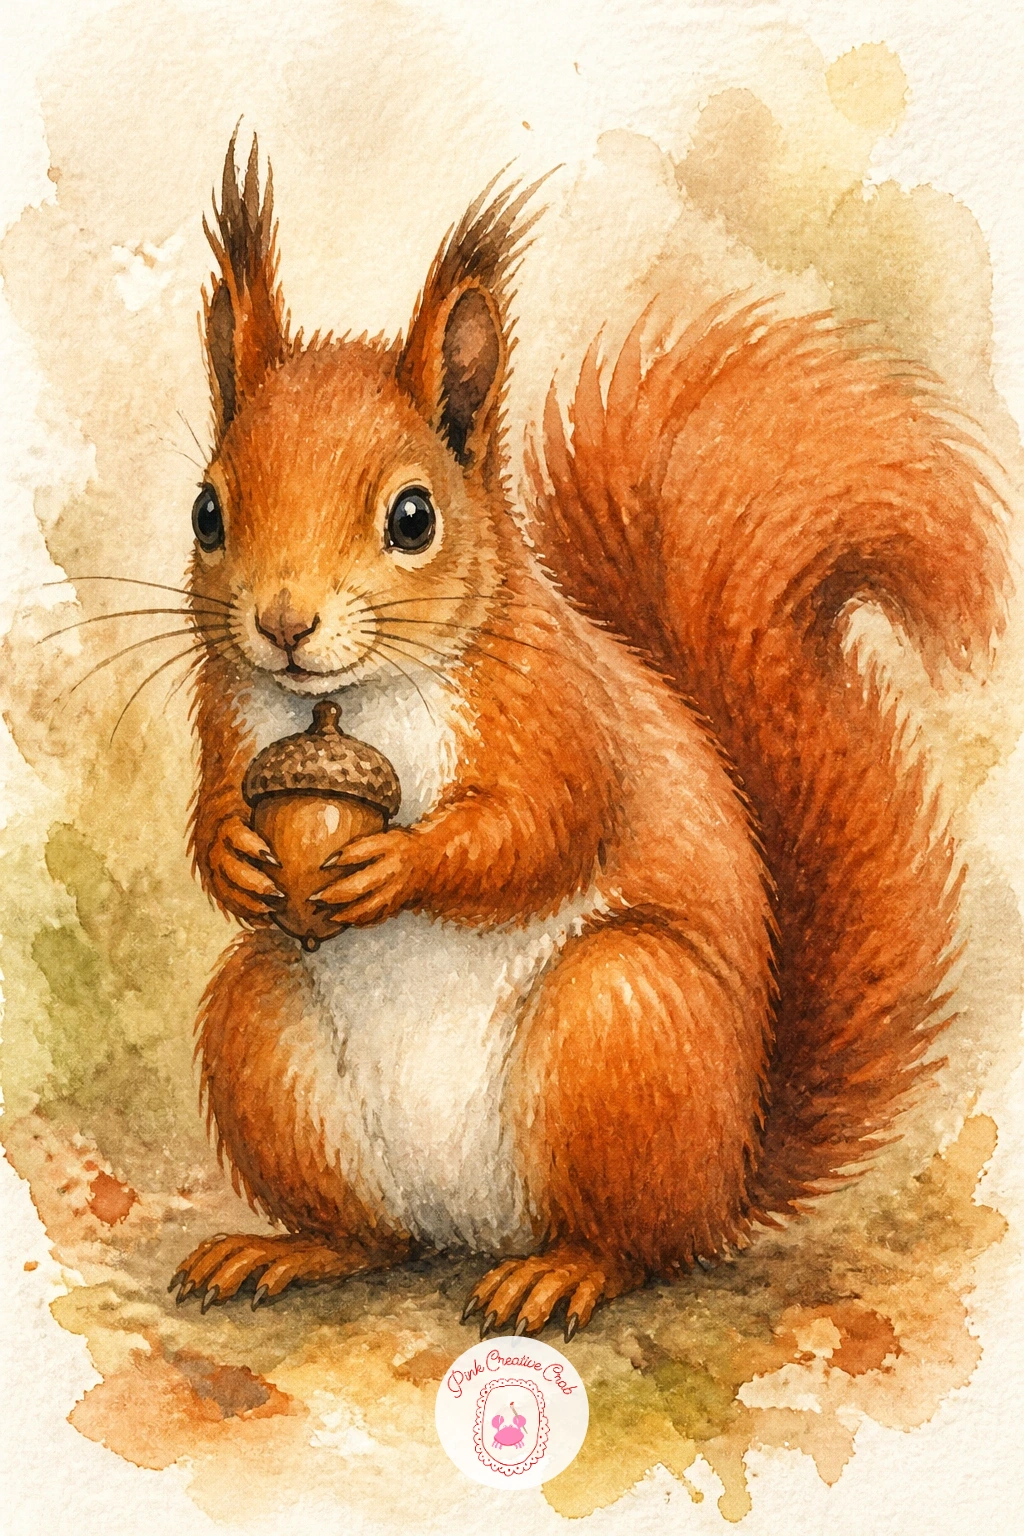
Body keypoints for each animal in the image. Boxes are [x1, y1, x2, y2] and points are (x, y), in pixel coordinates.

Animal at [170, 133, 1009, 1338]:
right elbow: (207, 808)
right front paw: (237, 856)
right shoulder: (224, 706)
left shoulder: (557, 709)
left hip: (617, 1021)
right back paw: (286, 1250)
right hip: (262, 1039)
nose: (283, 627)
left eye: (414, 518)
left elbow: (542, 829)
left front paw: (398, 863)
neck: (349, 701)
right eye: (206, 511)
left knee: (639, 1243)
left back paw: (561, 1274)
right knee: (370, 1234)